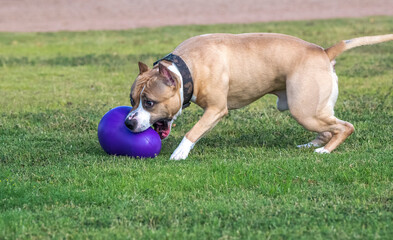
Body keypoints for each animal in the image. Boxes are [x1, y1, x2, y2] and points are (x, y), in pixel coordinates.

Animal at [125, 32, 392, 159]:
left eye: (149, 102)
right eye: (132, 100)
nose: (128, 122)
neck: (185, 69)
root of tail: (324, 51)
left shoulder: (216, 110)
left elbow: (193, 131)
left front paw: (179, 153)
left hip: (304, 110)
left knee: (345, 126)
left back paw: (325, 151)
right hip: (312, 109)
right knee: (329, 128)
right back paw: (313, 144)